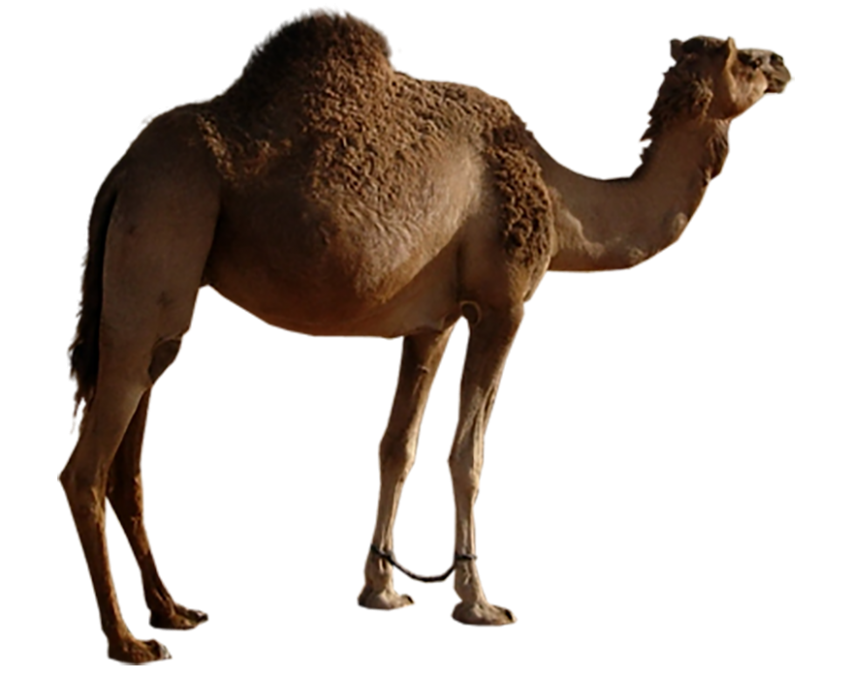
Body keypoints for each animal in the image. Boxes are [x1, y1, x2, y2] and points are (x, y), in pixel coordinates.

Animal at [58, 6, 792, 665]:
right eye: (749, 60)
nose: (786, 65)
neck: (562, 201)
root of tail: (123, 167)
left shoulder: (432, 321)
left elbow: (397, 447)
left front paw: (382, 590)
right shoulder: (504, 303)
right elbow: (468, 454)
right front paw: (480, 604)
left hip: (161, 284)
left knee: (132, 449)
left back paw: (174, 611)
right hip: (167, 218)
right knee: (85, 468)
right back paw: (128, 643)